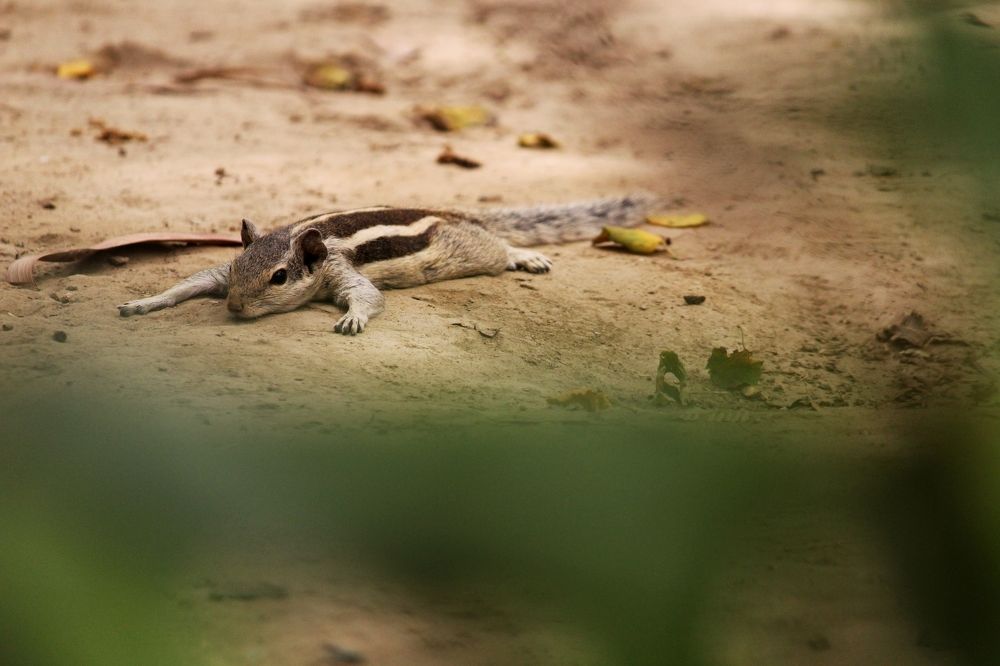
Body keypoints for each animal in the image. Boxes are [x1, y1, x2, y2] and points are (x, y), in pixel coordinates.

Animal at [117, 195, 654, 334]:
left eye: (279, 277)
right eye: (236, 268)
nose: (233, 308)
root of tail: (459, 214)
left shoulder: (339, 269)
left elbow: (366, 295)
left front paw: (353, 318)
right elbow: (191, 280)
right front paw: (144, 302)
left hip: (470, 250)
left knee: (498, 248)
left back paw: (526, 255)